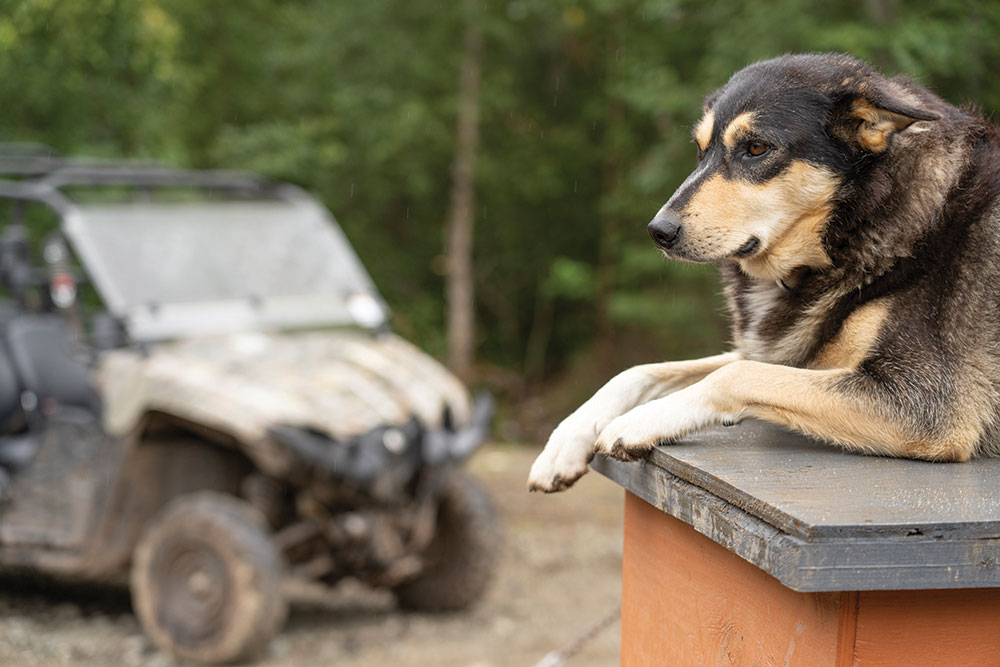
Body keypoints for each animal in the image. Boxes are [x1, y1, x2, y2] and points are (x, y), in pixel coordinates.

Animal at [528, 52, 1000, 494]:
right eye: (700, 150)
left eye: (756, 148)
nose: (658, 231)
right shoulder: (784, 354)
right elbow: (641, 371)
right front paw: (564, 442)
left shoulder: (926, 404)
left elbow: (732, 375)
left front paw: (638, 422)